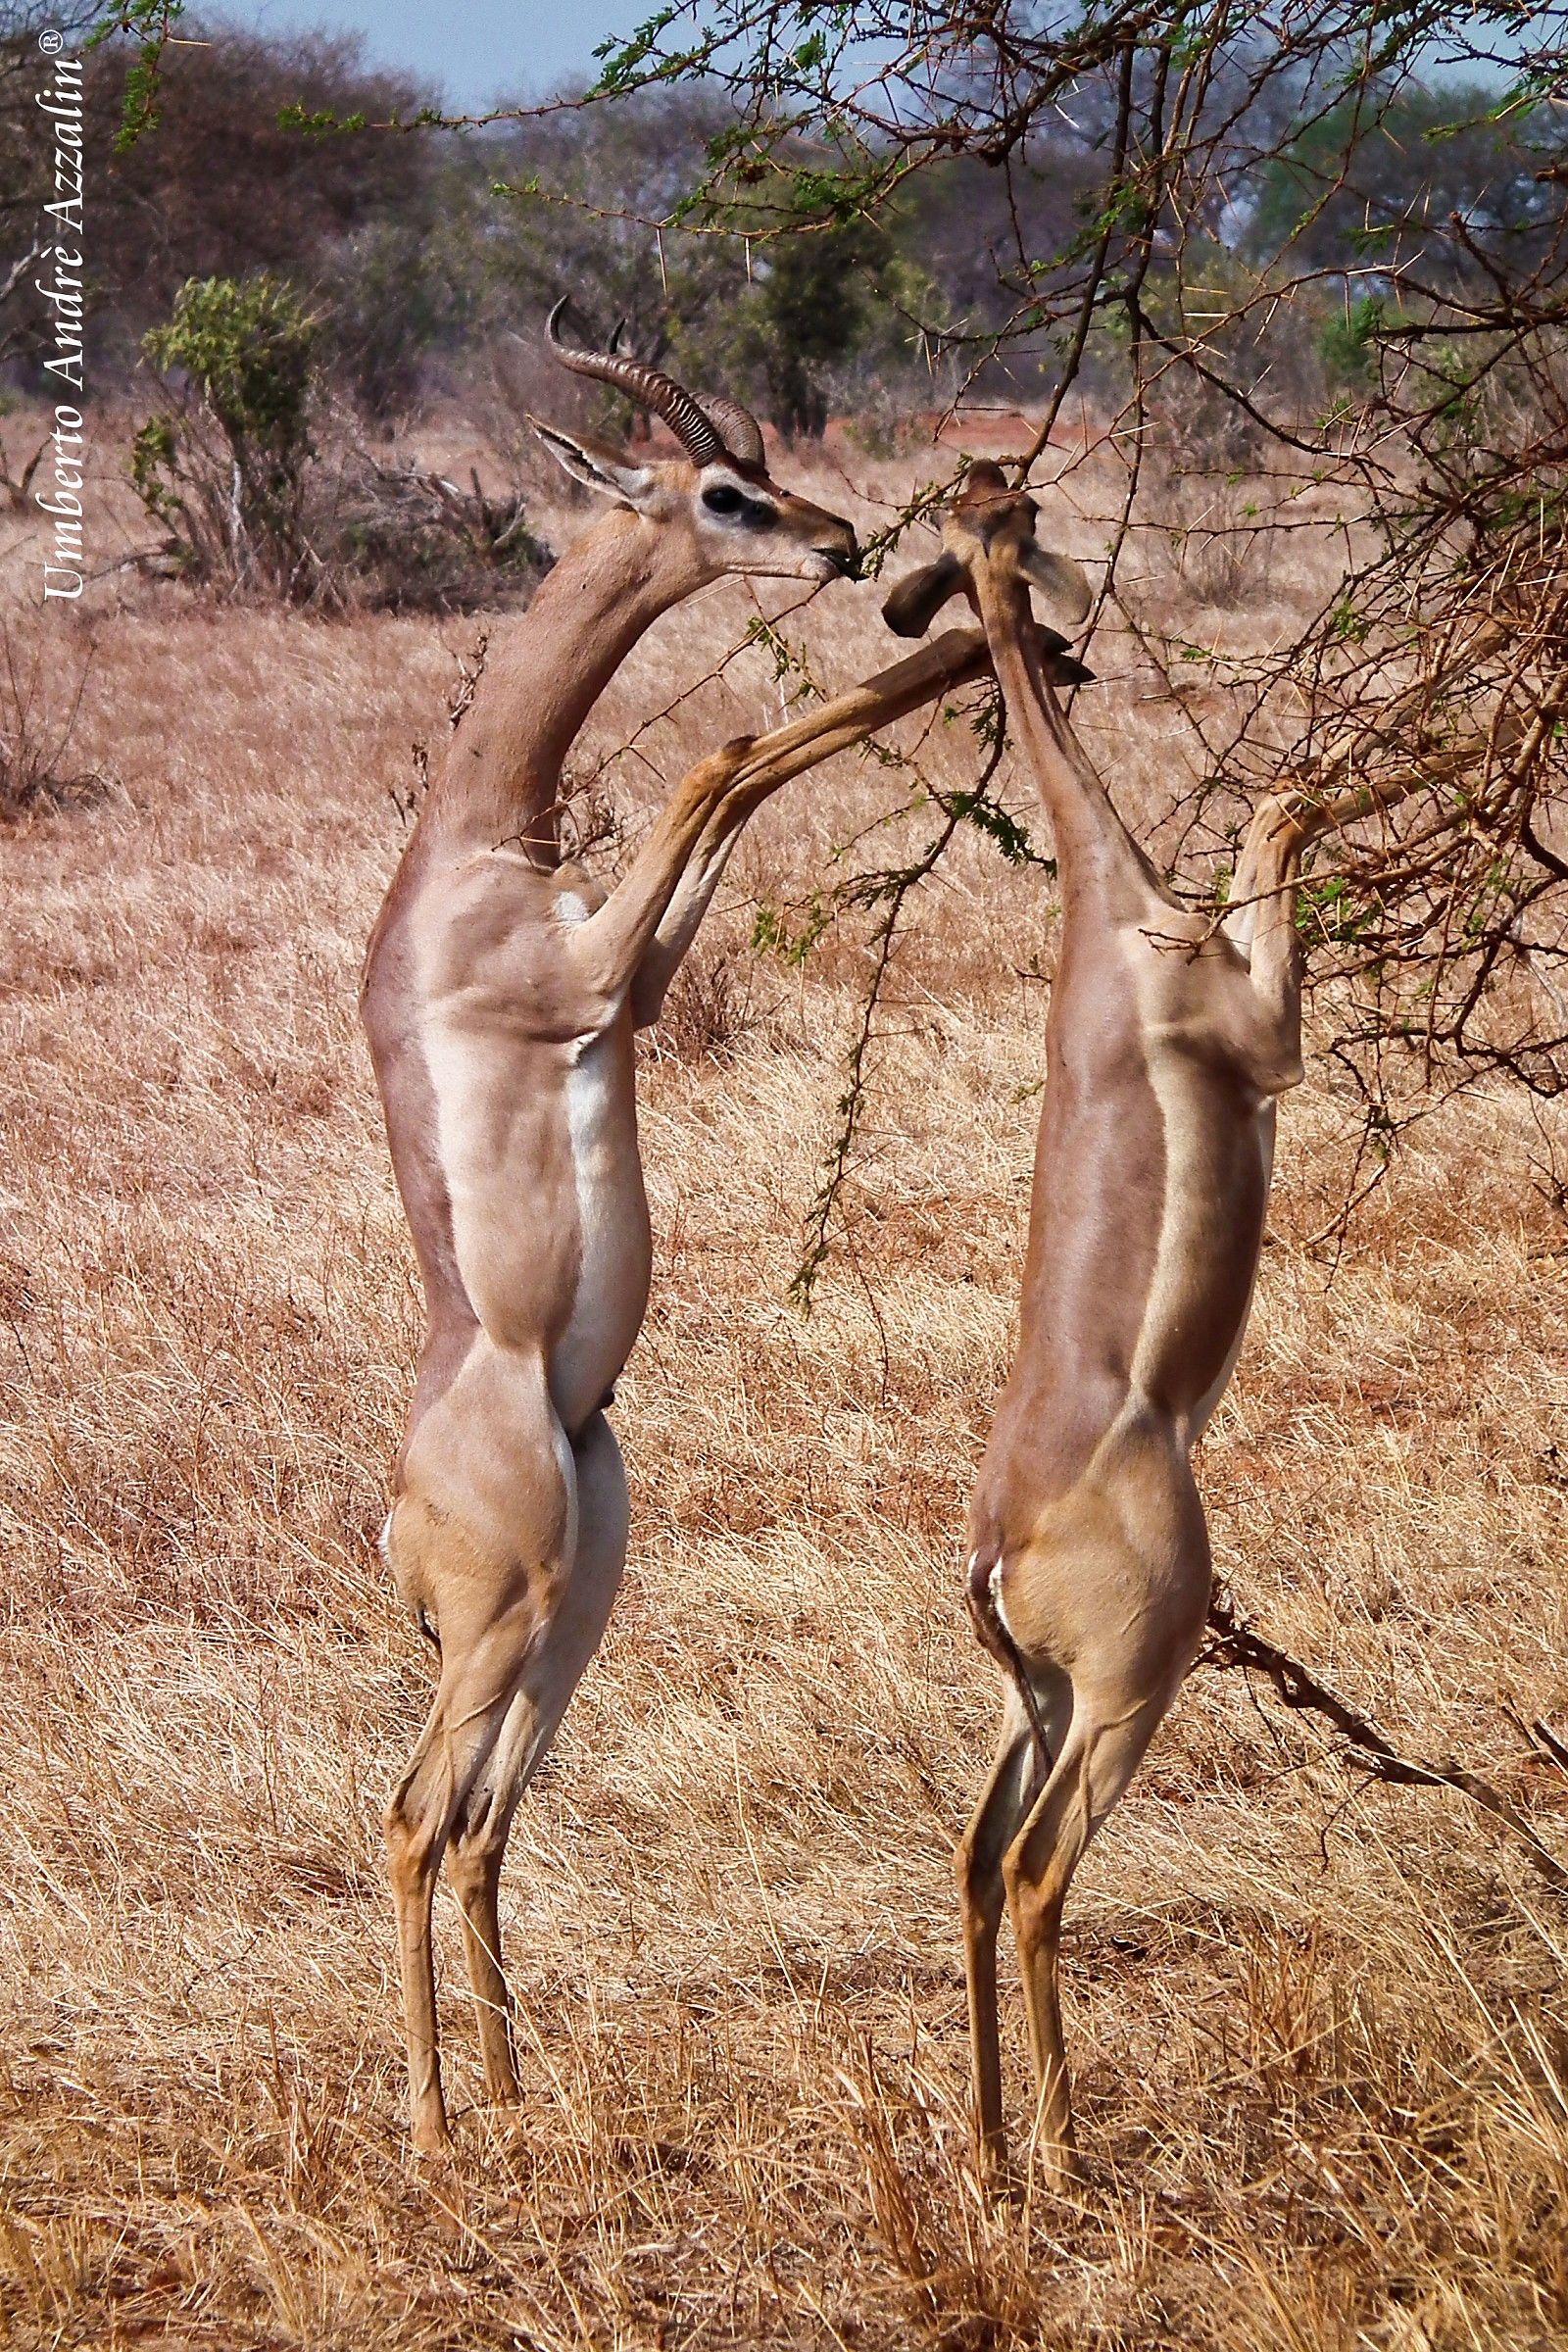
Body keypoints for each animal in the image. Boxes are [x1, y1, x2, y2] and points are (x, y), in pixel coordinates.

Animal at [359, 308, 995, 2150]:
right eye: (722, 488)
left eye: (768, 464)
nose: (840, 542)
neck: (467, 857)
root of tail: (400, 1516)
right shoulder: (588, 978)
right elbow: (721, 760)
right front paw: (980, 645)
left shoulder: (626, 983)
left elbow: (734, 789)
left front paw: (978, 646)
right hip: (503, 1618)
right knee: (413, 1817)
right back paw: (434, 2124)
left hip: (576, 1609)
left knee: (486, 1822)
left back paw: (512, 2088)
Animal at [885, 463, 1318, 2187]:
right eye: (996, 519)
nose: (1059, 621)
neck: (1114, 918)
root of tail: (997, 1546)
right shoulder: (1266, 1038)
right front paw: (1294, 797)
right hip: (1133, 1688)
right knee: (1036, 1871)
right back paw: (1066, 2154)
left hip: (1043, 1698)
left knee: (966, 1855)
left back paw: (996, 2140)